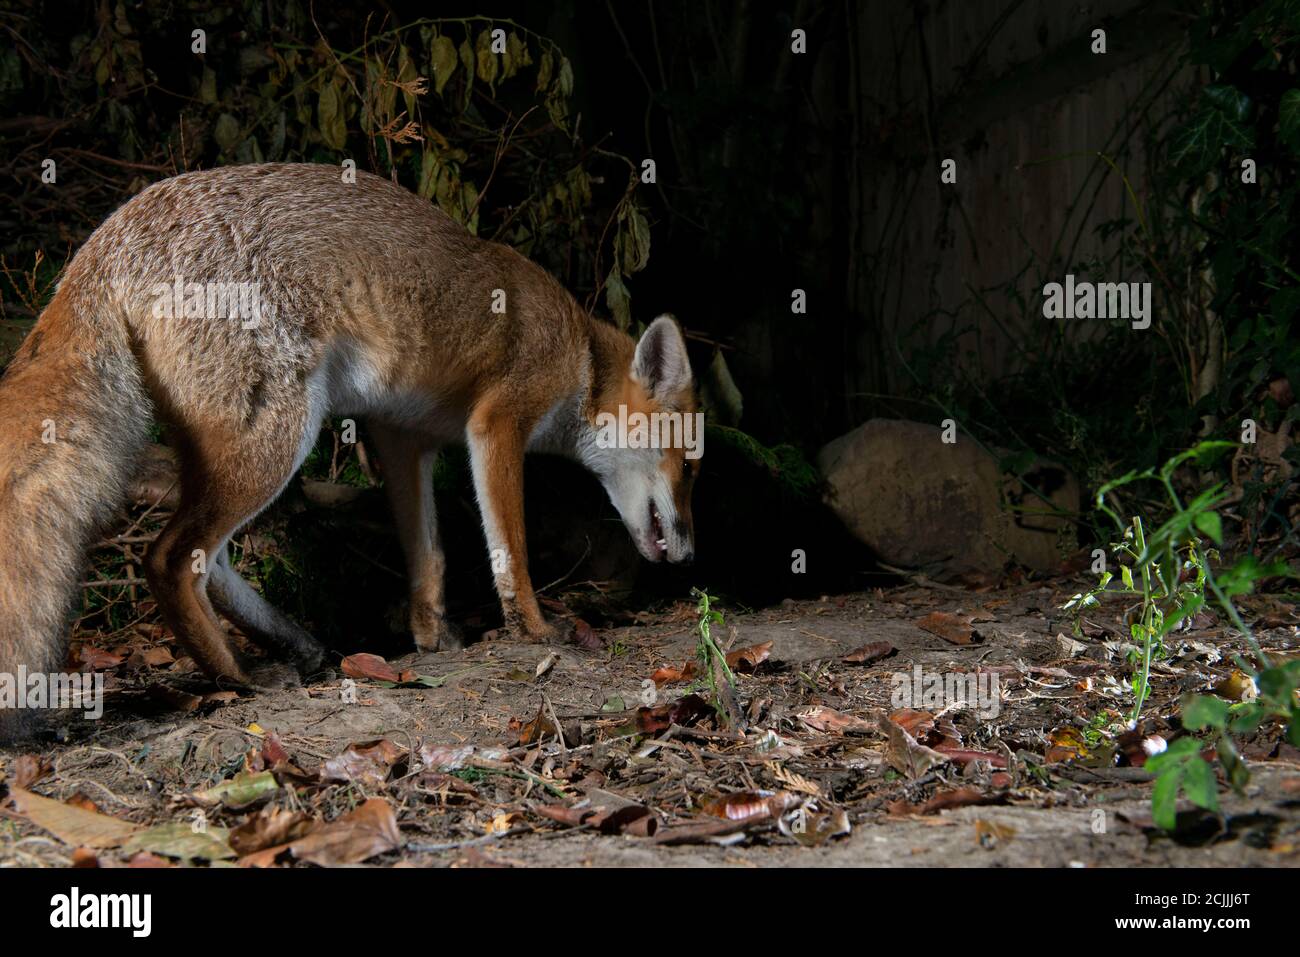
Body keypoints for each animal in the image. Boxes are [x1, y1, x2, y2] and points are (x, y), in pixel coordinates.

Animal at [0, 162, 702, 738]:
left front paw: (431, 637)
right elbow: (512, 550)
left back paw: (291, 646)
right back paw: (238, 679)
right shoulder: (497, 421)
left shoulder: (403, 437)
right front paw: (533, 629)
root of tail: (107, 238)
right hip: (279, 436)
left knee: (210, 560)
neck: (579, 356)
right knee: (169, 558)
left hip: (234, 449)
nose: (691, 551)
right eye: (690, 465)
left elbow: (428, 556)